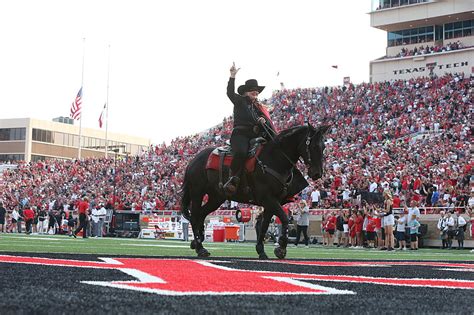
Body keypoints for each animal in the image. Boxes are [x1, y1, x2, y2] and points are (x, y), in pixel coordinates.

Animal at [180, 124, 328, 260]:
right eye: (314, 146)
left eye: (323, 147)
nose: (317, 173)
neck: (274, 159)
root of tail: (193, 160)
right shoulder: (268, 198)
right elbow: (284, 218)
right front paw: (281, 248)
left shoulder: (272, 202)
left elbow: (264, 225)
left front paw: (261, 250)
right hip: (197, 192)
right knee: (194, 217)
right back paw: (200, 248)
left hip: (216, 198)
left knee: (201, 215)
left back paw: (198, 242)